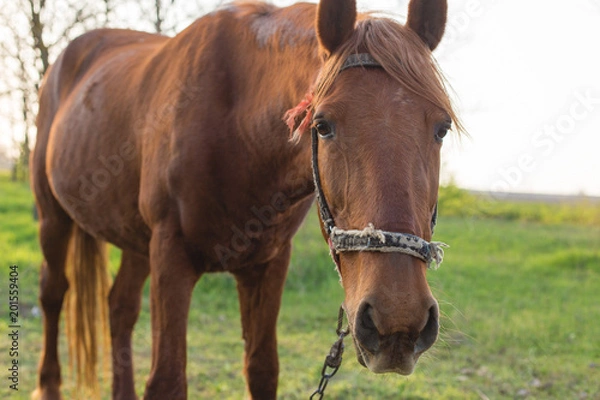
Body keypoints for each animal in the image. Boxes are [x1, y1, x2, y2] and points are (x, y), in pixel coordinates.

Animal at [31, 0, 460, 396]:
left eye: (441, 128)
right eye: (323, 125)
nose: (397, 318)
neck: (236, 125)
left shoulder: (267, 266)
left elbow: (262, 369)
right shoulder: (170, 255)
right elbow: (167, 380)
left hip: (136, 240)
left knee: (119, 308)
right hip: (55, 219)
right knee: (53, 293)